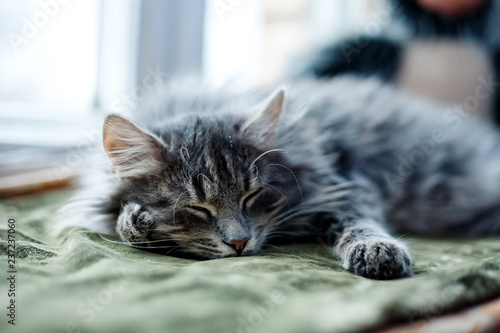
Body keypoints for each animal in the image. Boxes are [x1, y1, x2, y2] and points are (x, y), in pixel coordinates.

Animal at [61, 76, 500, 280]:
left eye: (252, 197)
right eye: (198, 209)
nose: (239, 243)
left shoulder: (343, 187)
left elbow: (360, 224)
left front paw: (377, 251)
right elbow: (123, 224)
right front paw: (137, 222)